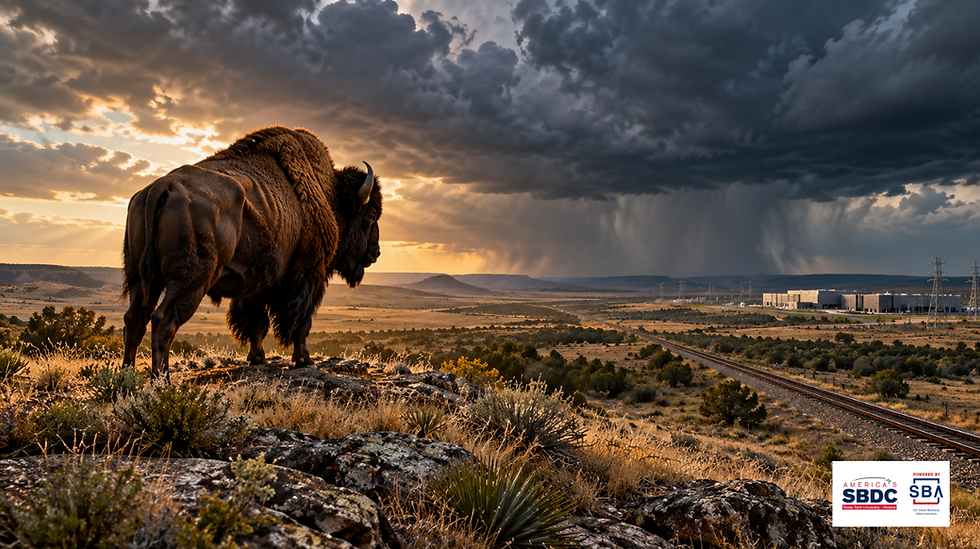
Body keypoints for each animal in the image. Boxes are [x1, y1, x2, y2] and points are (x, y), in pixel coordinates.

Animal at [122, 126, 382, 379]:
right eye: (370, 216)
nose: (375, 253)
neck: (329, 195)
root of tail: (163, 186)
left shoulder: (254, 285)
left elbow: (256, 323)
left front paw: (257, 358)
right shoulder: (307, 273)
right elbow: (300, 322)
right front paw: (304, 360)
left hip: (140, 278)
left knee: (134, 320)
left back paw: (128, 376)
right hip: (190, 282)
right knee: (163, 321)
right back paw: (162, 380)